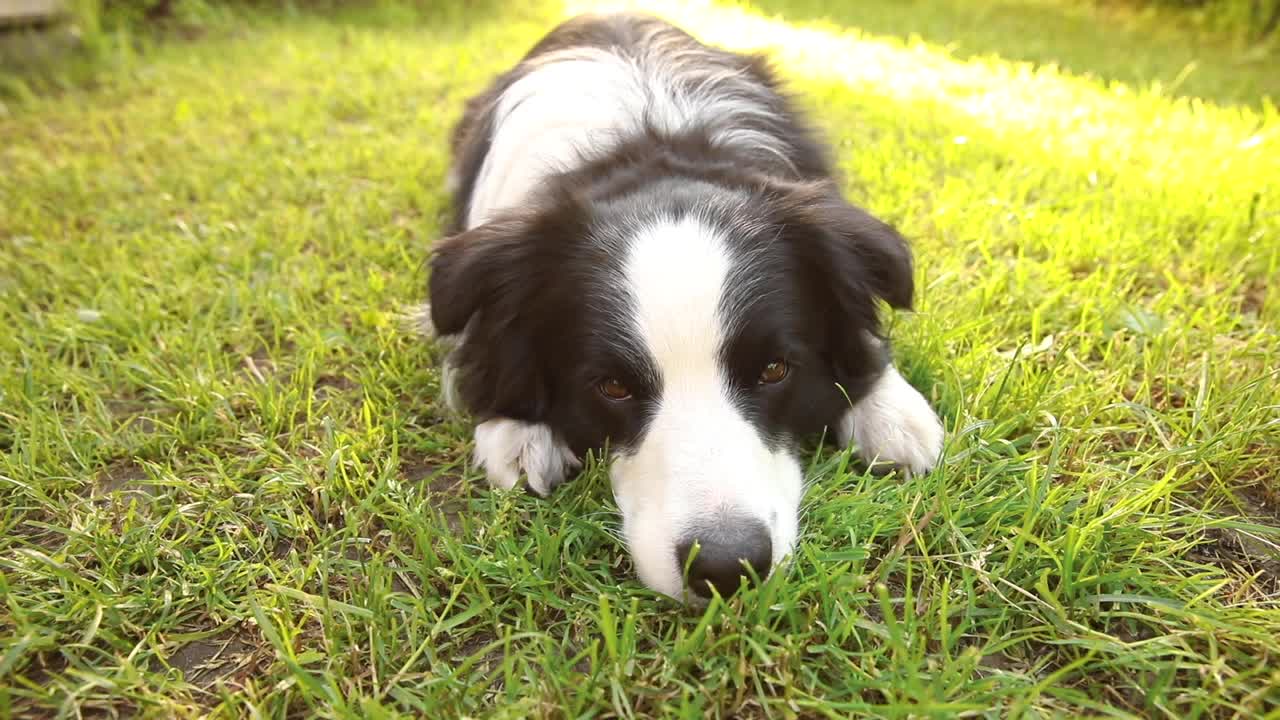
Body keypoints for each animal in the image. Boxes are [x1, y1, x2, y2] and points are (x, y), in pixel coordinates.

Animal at [424, 12, 947, 599]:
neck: (647, 148)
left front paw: (892, 412)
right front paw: (516, 430)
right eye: (612, 386)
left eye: (775, 369)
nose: (726, 567)